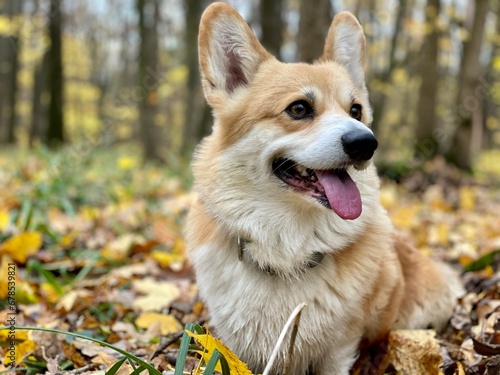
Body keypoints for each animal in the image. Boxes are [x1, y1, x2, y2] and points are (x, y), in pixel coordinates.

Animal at [185, 2, 464, 374]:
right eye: (299, 108)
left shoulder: (339, 347)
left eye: (356, 110)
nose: (366, 143)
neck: (288, 247)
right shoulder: (238, 347)